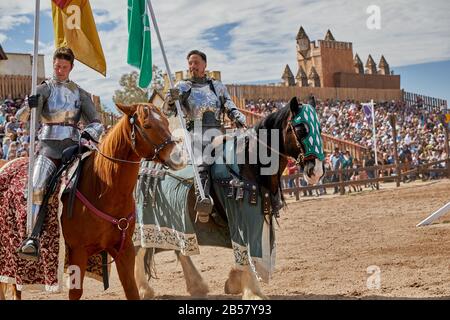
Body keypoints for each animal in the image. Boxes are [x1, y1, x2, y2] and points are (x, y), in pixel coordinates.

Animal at [0, 104, 186, 298]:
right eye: (147, 125)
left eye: (166, 122)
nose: (178, 157)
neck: (104, 188)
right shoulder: (78, 251)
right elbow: (76, 292)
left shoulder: (124, 248)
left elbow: (131, 288)